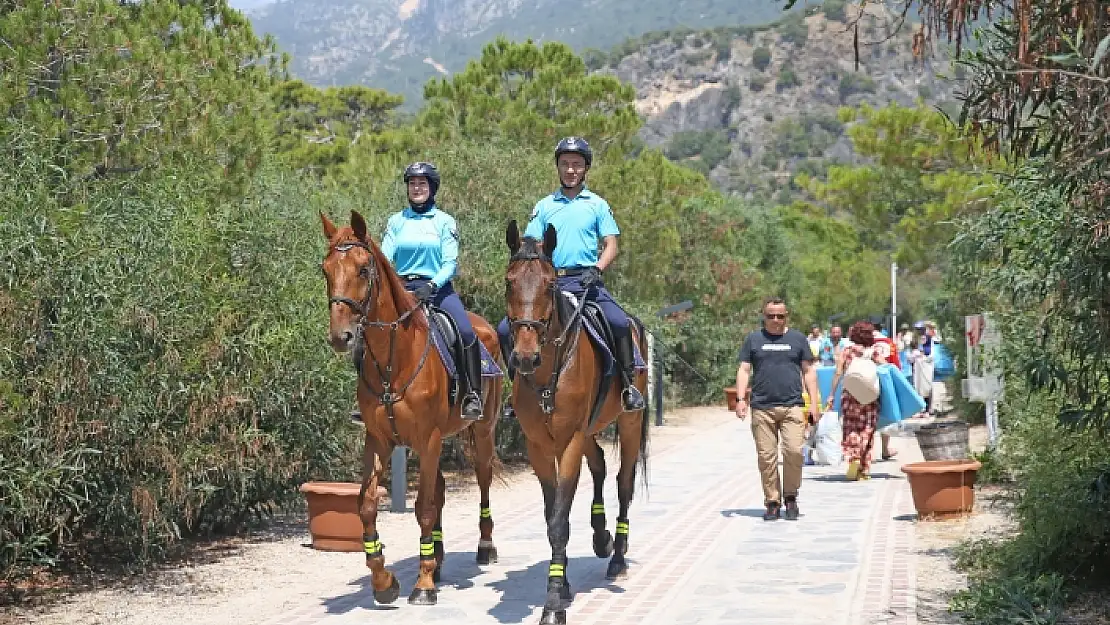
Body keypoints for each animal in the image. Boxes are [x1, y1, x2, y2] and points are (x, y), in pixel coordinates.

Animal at [319, 209, 506, 608]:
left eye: (363, 269)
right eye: (325, 270)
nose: (341, 336)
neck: (396, 358)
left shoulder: (429, 439)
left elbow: (423, 508)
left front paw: (423, 584)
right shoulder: (379, 440)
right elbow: (367, 505)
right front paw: (383, 581)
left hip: (481, 431)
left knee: (482, 480)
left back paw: (484, 547)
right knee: (439, 491)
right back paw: (439, 556)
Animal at [503, 222, 648, 621]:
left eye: (549, 284)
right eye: (509, 282)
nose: (525, 357)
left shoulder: (567, 442)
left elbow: (559, 520)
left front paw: (553, 601)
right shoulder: (539, 446)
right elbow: (552, 514)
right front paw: (563, 584)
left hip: (629, 424)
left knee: (624, 483)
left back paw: (617, 558)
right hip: (588, 430)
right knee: (598, 465)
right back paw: (602, 538)